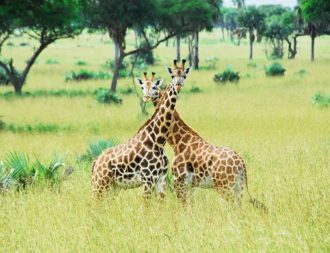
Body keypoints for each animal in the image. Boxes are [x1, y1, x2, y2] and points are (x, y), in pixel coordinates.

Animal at [91, 65, 189, 200]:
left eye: (184, 75)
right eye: (173, 75)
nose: (178, 84)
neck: (159, 140)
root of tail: (96, 162)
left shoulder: (160, 179)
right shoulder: (148, 179)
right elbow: (146, 204)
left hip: (113, 187)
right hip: (100, 184)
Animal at [137, 59, 266, 210]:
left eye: (154, 87)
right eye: (142, 87)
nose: (146, 97)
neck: (178, 142)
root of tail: (241, 163)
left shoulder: (178, 181)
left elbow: (184, 207)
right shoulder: (191, 185)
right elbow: (191, 206)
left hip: (224, 186)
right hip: (238, 187)